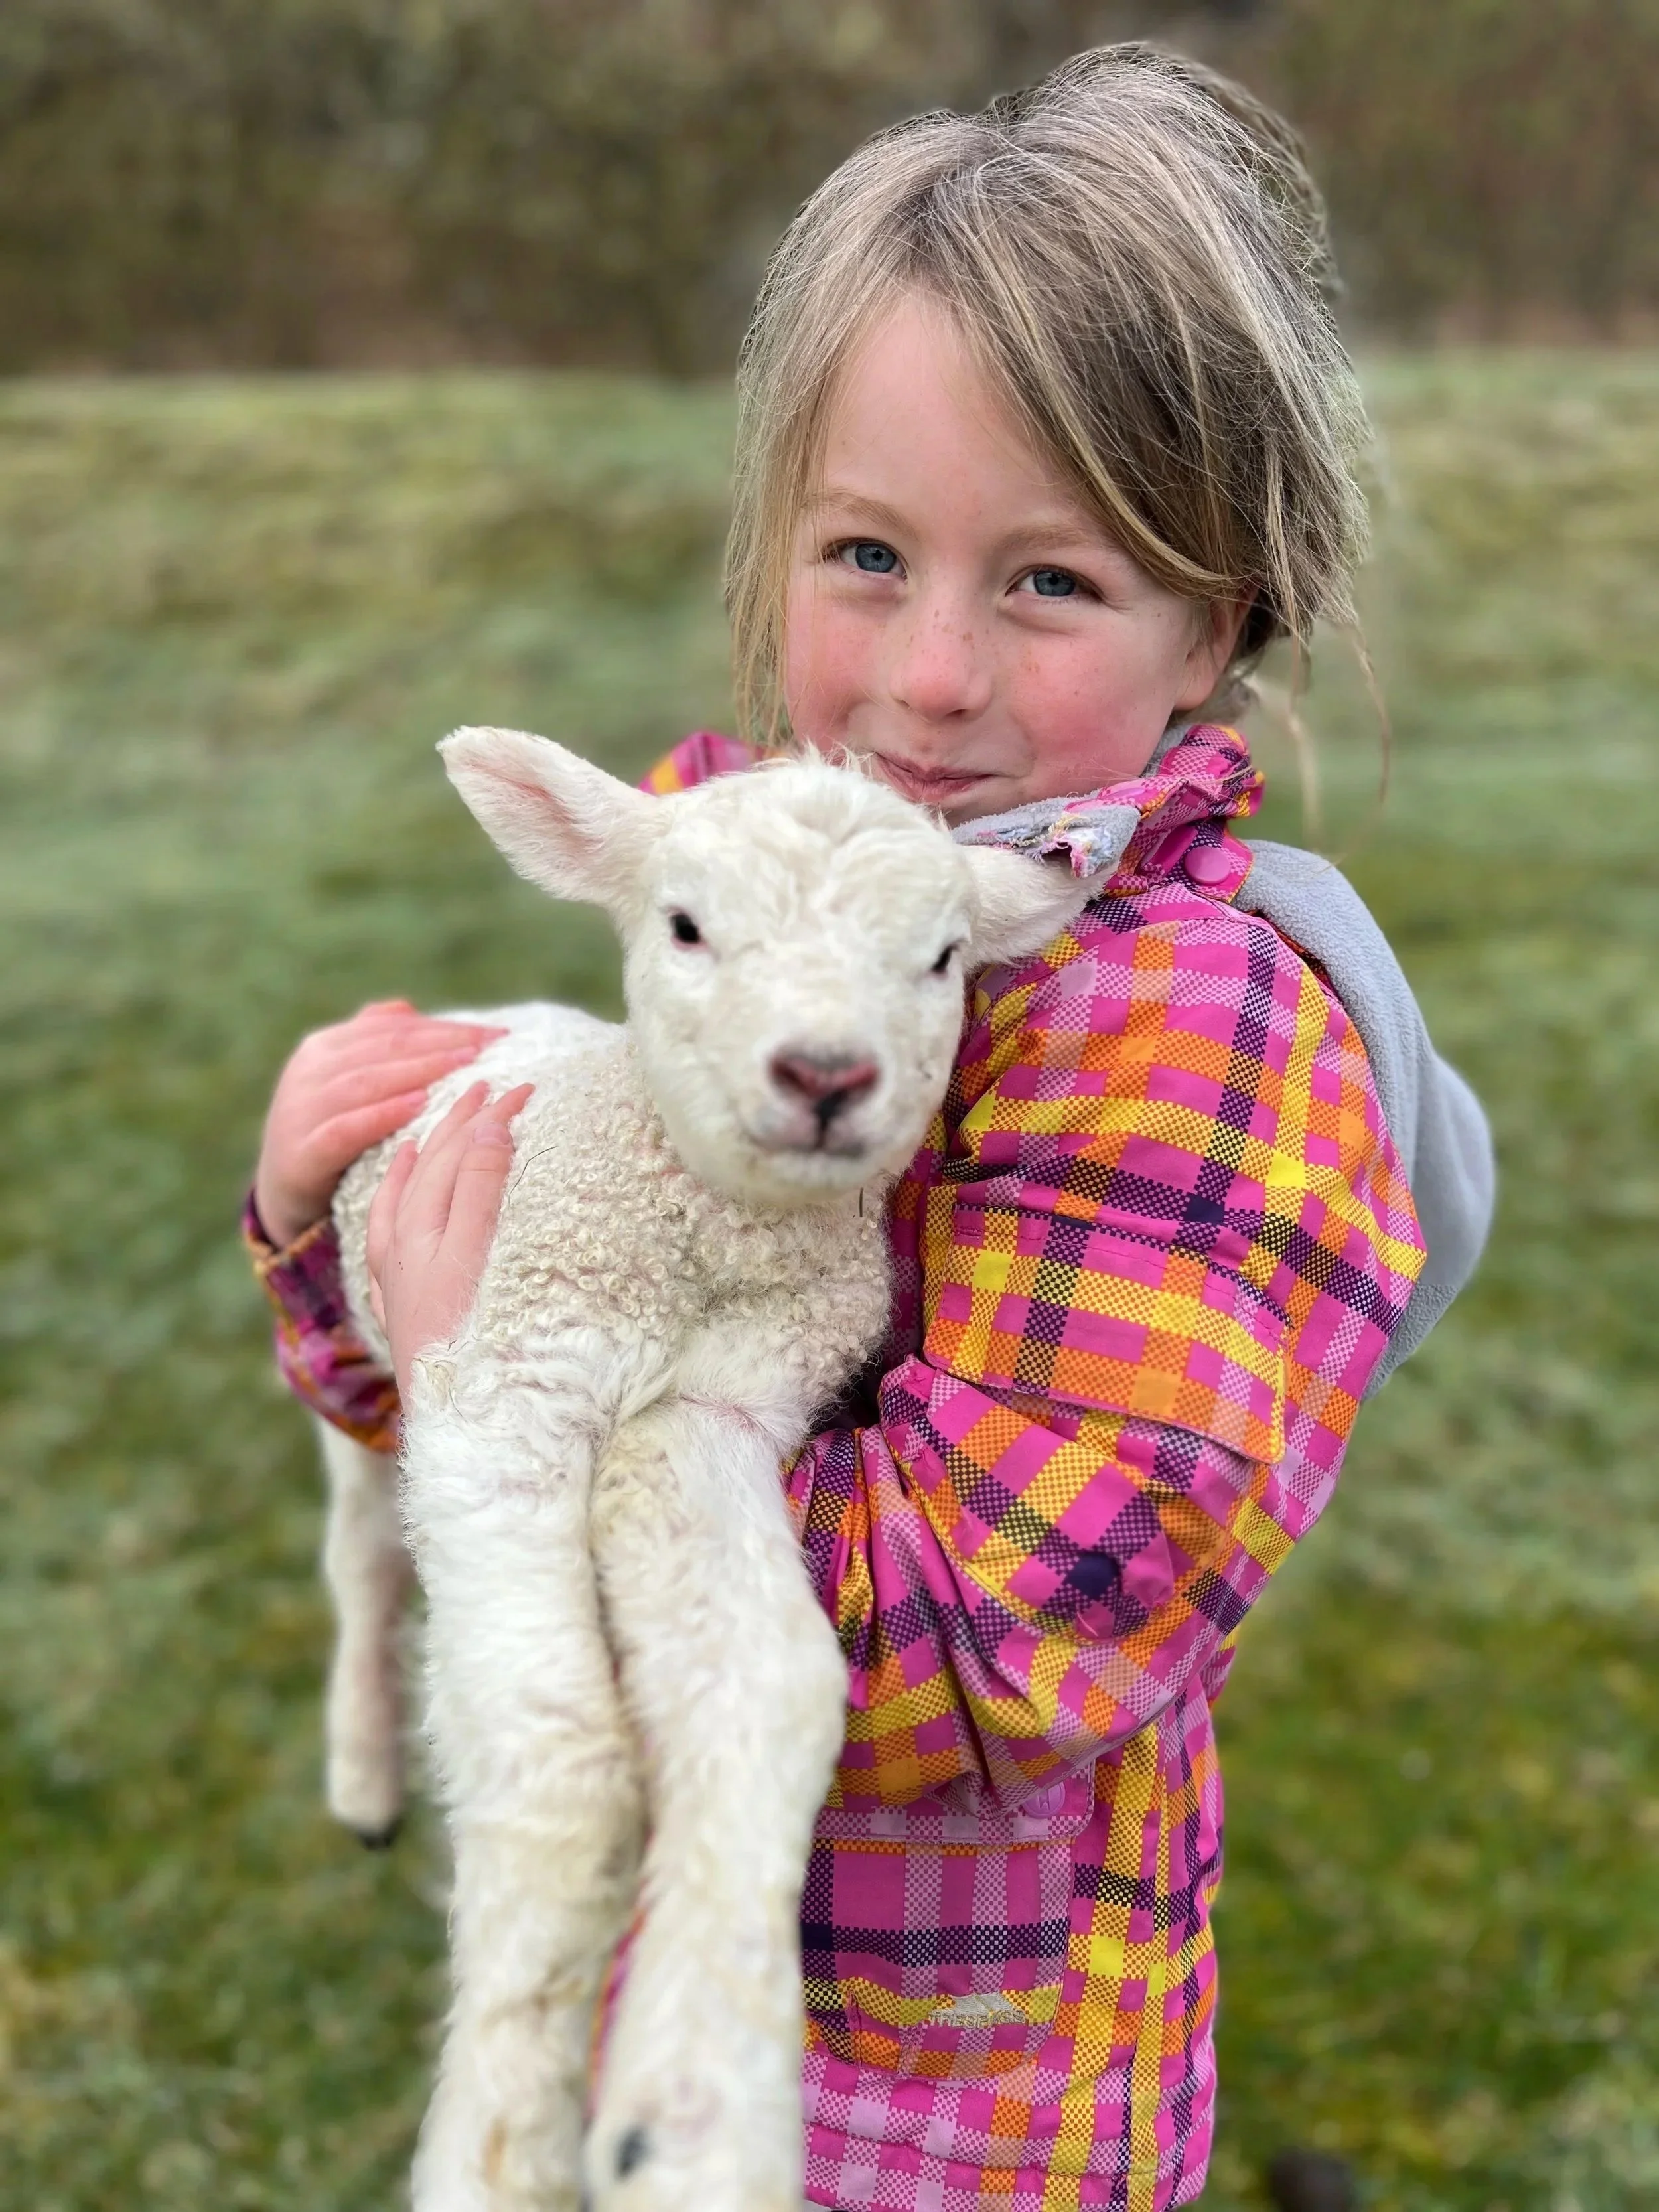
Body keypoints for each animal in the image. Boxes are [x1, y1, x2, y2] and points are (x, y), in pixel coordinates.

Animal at [314, 727, 1096, 2212]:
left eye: (943, 957)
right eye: (683, 925)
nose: (825, 1073)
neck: (696, 1247)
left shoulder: (717, 1413)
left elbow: (768, 1689)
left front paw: (688, 2119)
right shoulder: (503, 1387)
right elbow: (562, 1753)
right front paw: (501, 2136)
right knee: (367, 1555)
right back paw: (367, 1771)